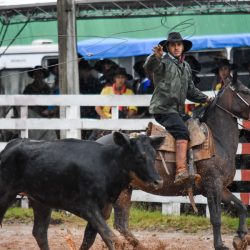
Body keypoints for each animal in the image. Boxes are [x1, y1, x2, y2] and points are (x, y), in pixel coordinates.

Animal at [0, 132, 163, 249]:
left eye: (154, 155)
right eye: (140, 156)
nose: (158, 181)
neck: (107, 164)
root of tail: (12, 144)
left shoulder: (104, 209)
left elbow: (89, 239)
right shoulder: (87, 207)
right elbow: (111, 238)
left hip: (40, 201)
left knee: (40, 232)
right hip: (5, 194)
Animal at [97, 78, 250, 250]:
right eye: (246, 91)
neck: (216, 142)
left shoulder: (220, 188)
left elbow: (241, 206)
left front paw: (241, 238)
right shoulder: (213, 186)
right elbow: (216, 218)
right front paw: (221, 245)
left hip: (124, 191)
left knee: (121, 224)